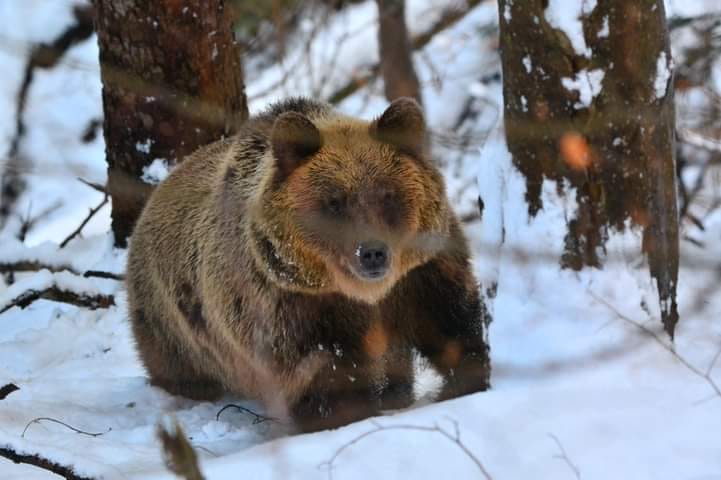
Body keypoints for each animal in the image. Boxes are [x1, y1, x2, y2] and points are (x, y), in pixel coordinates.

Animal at [126, 97, 492, 432]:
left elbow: (450, 324)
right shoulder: (291, 306)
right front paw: (344, 414)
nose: (372, 252)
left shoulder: (421, 274)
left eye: (388, 194)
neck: (363, 293)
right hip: (175, 328)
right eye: (334, 202)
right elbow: (324, 372)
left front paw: (464, 384)